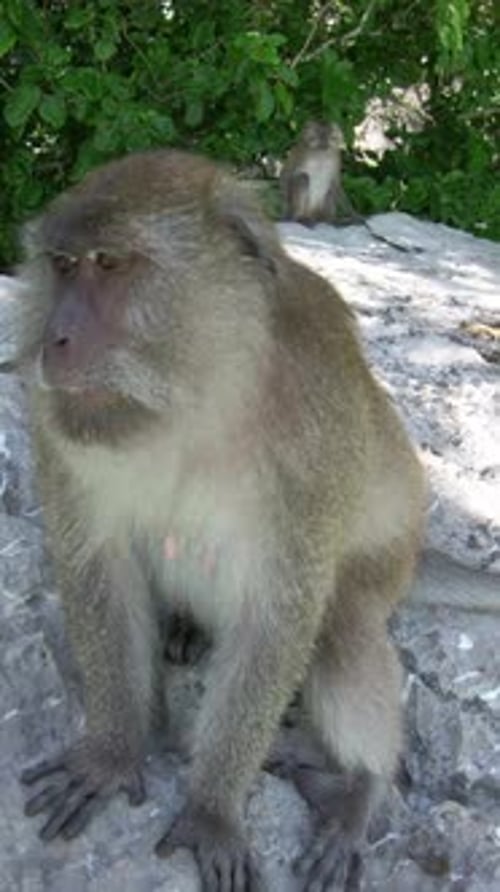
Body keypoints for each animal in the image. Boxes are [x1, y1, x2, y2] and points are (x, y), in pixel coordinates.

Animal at [16, 148, 425, 892]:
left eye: (109, 264)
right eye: (61, 265)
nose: (52, 338)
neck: (198, 397)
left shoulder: (312, 438)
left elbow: (278, 617)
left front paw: (212, 808)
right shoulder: (60, 424)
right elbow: (98, 567)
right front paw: (112, 751)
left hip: (392, 558)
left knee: (345, 628)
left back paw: (358, 789)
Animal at [280, 121, 418, 253]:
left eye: (329, 137)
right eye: (318, 136)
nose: (324, 144)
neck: (321, 154)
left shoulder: (336, 157)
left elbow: (336, 183)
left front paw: (356, 216)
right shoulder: (300, 152)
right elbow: (286, 175)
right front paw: (287, 214)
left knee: (330, 188)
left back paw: (331, 220)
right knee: (302, 178)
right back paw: (301, 218)